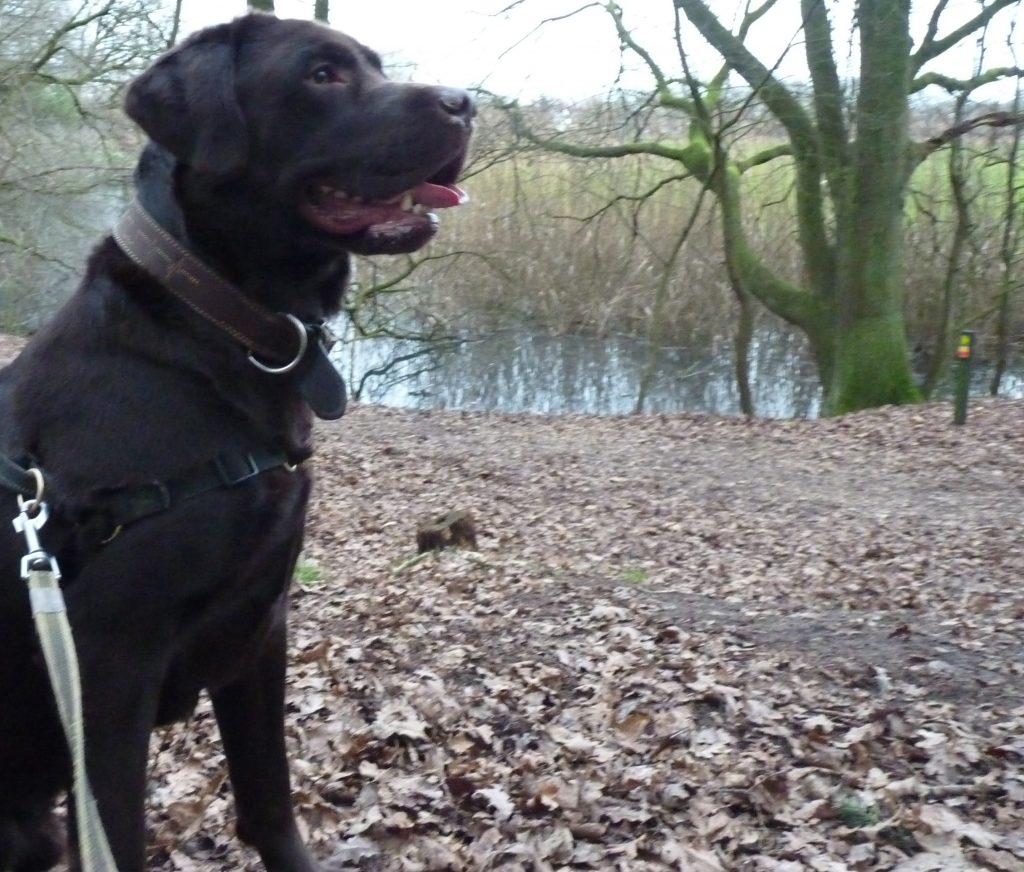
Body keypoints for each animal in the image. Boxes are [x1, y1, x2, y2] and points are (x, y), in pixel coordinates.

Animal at [0, 15, 471, 872]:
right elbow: (119, 835)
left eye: (374, 65)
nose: (465, 103)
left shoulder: (260, 622)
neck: (218, 326)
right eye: (322, 74)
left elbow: (268, 803)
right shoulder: (110, 660)